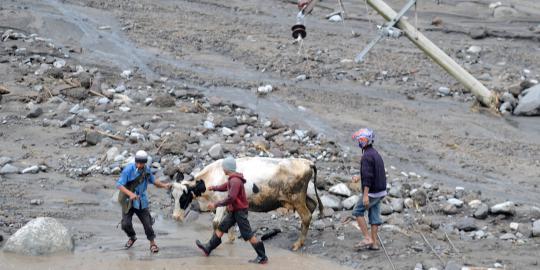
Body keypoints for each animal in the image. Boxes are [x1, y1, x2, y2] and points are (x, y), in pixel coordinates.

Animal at [171, 156, 322, 251]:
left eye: (183, 198)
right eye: (173, 196)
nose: (175, 217)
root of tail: (306, 162)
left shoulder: (221, 202)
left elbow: (216, 223)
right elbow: (228, 222)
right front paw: (231, 239)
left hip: (297, 198)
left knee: (306, 216)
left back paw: (298, 244)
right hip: (301, 197)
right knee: (312, 206)